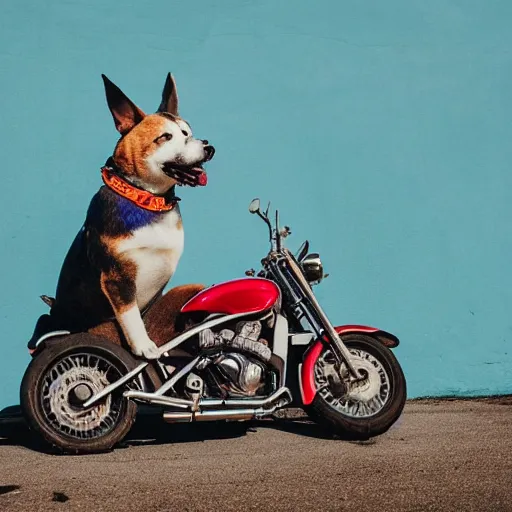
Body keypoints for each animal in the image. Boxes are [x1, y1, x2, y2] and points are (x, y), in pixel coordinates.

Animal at [40, 73, 214, 360]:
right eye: (166, 137)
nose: (209, 146)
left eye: (188, 132)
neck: (145, 199)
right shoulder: (117, 280)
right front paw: (144, 347)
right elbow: (130, 317)